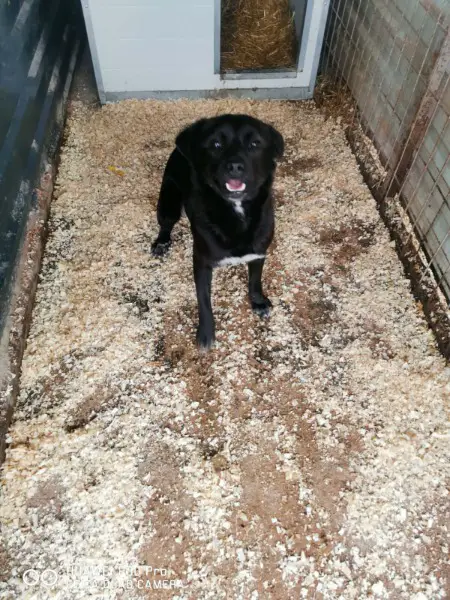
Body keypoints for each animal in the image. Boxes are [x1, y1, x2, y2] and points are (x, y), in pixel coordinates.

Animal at [151, 114, 284, 350]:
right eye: (216, 144)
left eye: (254, 144)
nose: (235, 166)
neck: (236, 209)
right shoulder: (201, 261)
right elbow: (203, 300)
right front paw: (206, 333)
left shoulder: (258, 252)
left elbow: (255, 280)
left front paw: (258, 301)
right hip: (168, 199)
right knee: (166, 223)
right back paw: (161, 242)